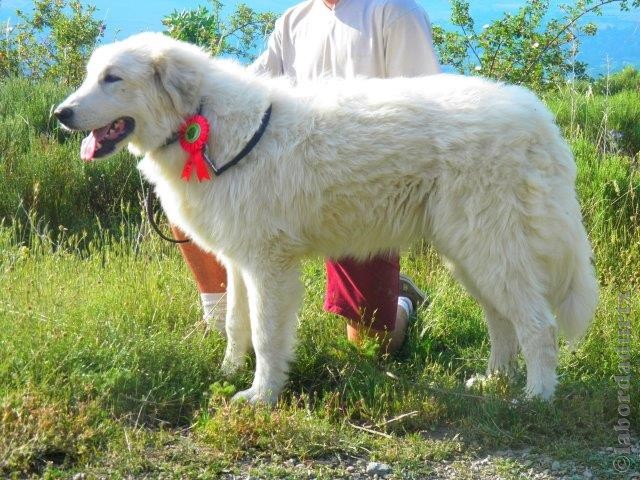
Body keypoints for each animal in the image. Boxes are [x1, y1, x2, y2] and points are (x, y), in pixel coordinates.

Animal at [56, 31, 600, 404]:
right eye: (90, 76)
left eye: (112, 78)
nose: (60, 114)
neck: (207, 123)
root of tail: (538, 118)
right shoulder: (239, 261)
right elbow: (235, 324)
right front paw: (229, 372)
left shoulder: (268, 266)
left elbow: (267, 335)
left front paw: (261, 396)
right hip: (471, 255)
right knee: (503, 321)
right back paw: (492, 380)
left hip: (490, 250)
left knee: (537, 325)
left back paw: (536, 396)